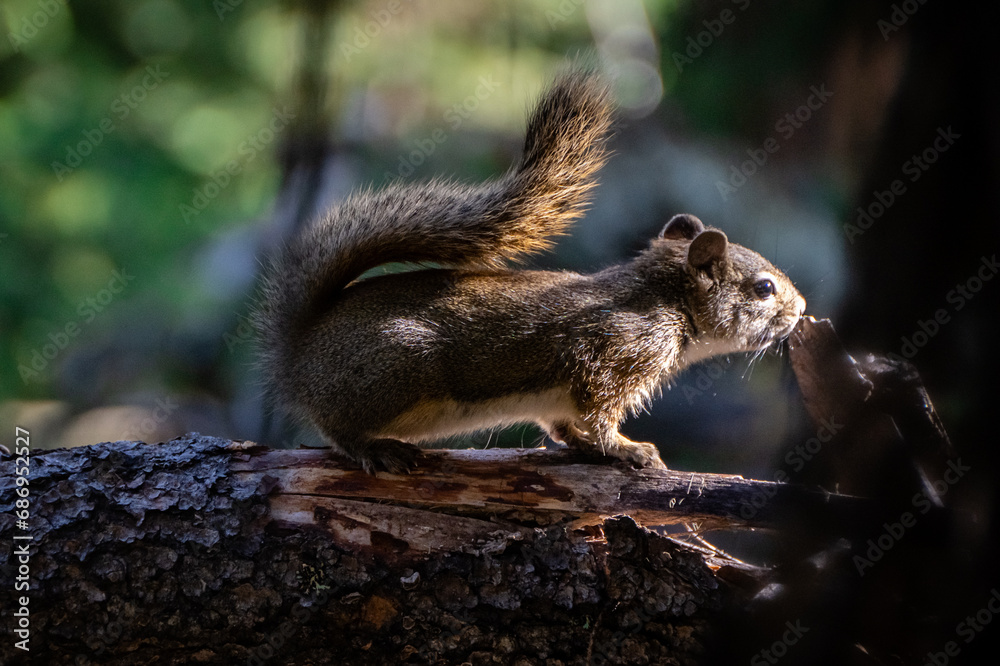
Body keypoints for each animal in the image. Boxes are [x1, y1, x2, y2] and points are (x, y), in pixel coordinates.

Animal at [254, 71, 806, 474]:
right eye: (763, 288)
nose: (801, 311)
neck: (664, 300)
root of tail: (296, 355)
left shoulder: (562, 395)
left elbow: (563, 423)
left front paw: (584, 446)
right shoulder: (614, 353)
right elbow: (599, 411)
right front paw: (627, 447)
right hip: (396, 367)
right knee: (337, 428)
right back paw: (375, 448)